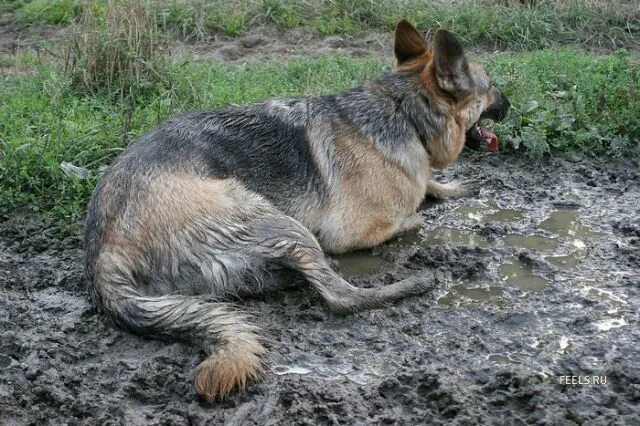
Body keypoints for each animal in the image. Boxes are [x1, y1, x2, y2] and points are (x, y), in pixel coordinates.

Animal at [84, 19, 510, 400]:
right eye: (491, 88)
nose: (507, 104)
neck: (402, 110)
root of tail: (104, 250)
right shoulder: (351, 232)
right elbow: (415, 216)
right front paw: (426, 201)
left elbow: (428, 184)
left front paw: (450, 186)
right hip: (275, 220)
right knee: (340, 297)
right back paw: (409, 284)